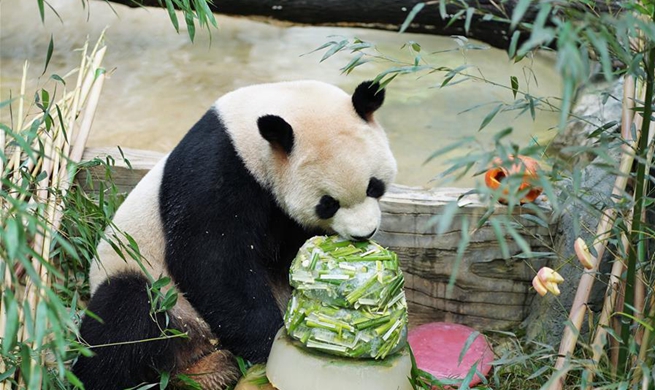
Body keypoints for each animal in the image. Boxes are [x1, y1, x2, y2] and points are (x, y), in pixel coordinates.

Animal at [74, 80, 398, 388]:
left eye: (374, 186)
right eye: (328, 203)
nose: (364, 233)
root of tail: (195, 352)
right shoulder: (216, 168)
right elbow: (211, 260)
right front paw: (269, 343)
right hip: (155, 286)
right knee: (122, 321)